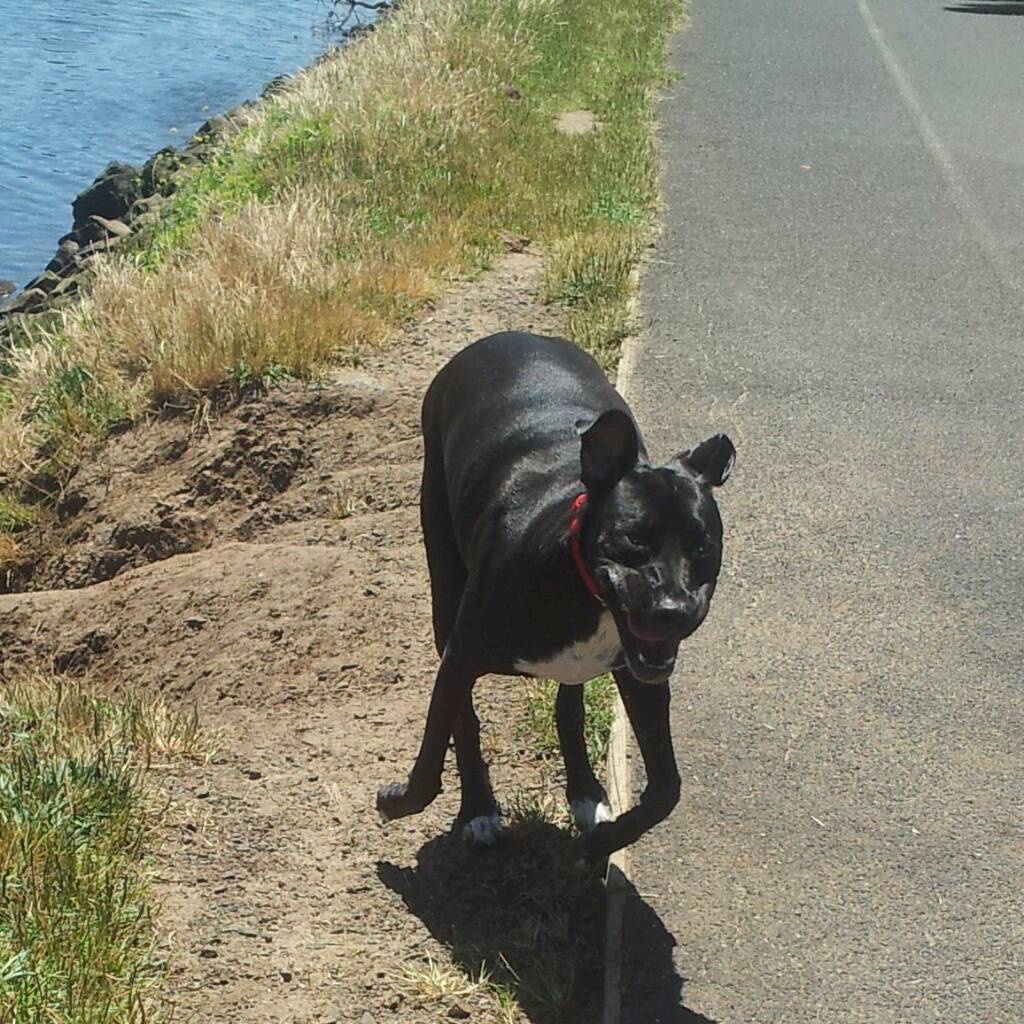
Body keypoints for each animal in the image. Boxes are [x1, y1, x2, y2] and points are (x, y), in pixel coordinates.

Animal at [377, 331, 735, 859]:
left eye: (703, 546)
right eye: (634, 538)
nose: (674, 612)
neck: (577, 579)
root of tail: (505, 336)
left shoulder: (642, 677)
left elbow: (667, 789)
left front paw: (605, 841)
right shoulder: (460, 654)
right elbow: (445, 736)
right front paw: (411, 802)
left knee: (569, 706)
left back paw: (585, 791)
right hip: (442, 580)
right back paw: (478, 808)